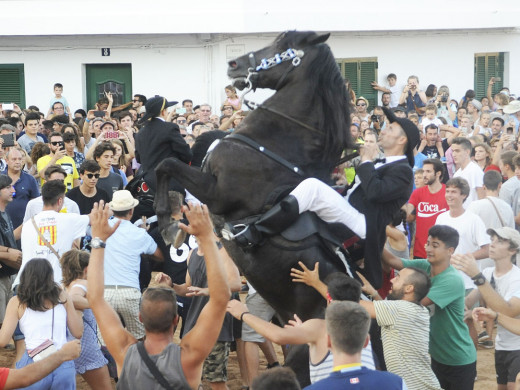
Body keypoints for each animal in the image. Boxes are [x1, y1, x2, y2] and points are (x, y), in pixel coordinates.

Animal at [155, 29, 354, 380]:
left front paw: (166, 222)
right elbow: (166, 170)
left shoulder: (216, 192)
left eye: (282, 45)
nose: (234, 64)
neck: (273, 144)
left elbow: (166, 164)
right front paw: (175, 226)